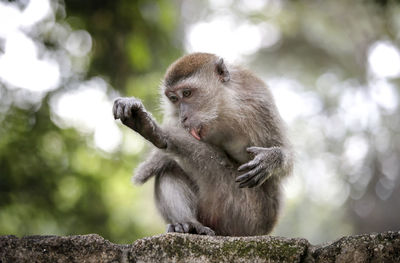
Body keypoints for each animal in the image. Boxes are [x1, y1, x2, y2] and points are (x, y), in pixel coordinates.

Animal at [112, 52, 294, 237]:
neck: (222, 111)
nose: (183, 117)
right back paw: (189, 223)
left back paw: (160, 136)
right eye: (174, 99)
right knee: (169, 168)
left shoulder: (259, 105)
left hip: (245, 214)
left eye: (187, 93)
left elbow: (286, 164)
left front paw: (272, 159)